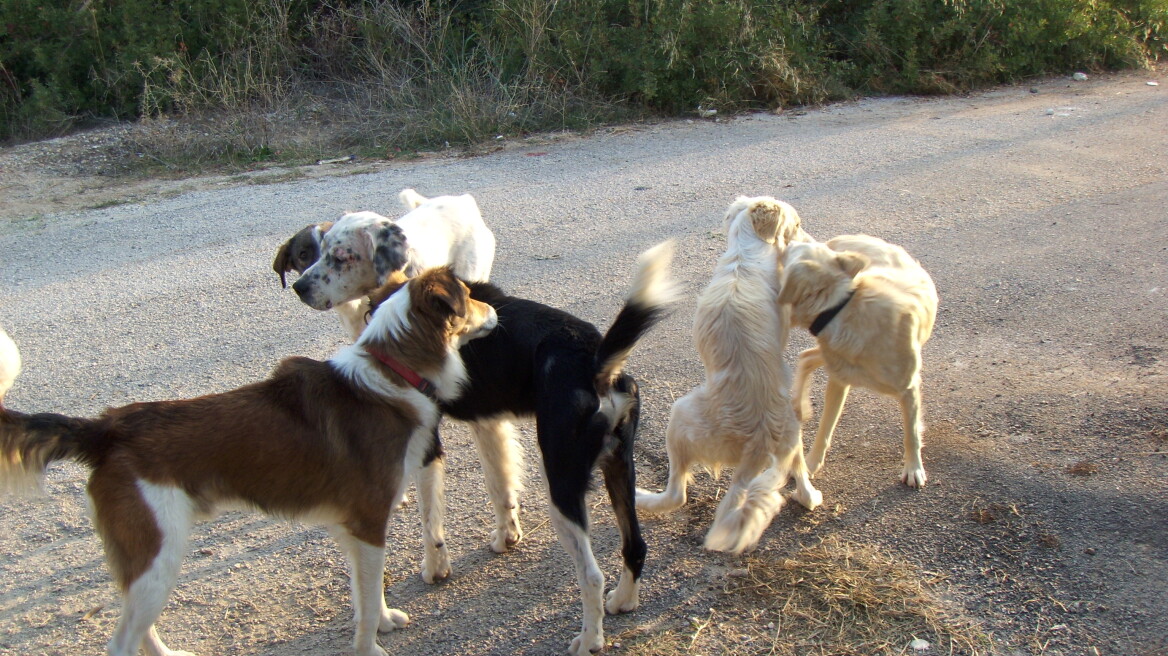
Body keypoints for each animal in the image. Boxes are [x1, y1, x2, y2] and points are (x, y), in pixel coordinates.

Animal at [0, 266, 495, 653]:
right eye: (469, 295)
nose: (495, 310)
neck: (393, 373)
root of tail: (108, 428)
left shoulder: (352, 528)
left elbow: (364, 595)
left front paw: (386, 620)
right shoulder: (369, 522)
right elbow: (368, 603)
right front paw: (370, 648)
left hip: (150, 564)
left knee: (139, 630)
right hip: (158, 555)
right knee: (121, 641)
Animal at [640, 194, 822, 550]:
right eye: (796, 225)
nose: (811, 242)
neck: (745, 256)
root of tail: (757, 446)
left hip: (678, 414)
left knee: (677, 494)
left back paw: (642, 498)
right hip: (791, 432)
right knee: (800, 475)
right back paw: (808, 493)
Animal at [775, 233, 939, 485]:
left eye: (797, 249)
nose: (789, 237)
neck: (841, 307)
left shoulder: (908, 387)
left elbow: (911, 432)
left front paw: (913, 468)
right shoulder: (839, 381)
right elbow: (825, 428)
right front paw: (811, 464)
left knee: (807, 357)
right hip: (834, 358)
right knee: (806, 357)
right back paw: (799, 404)